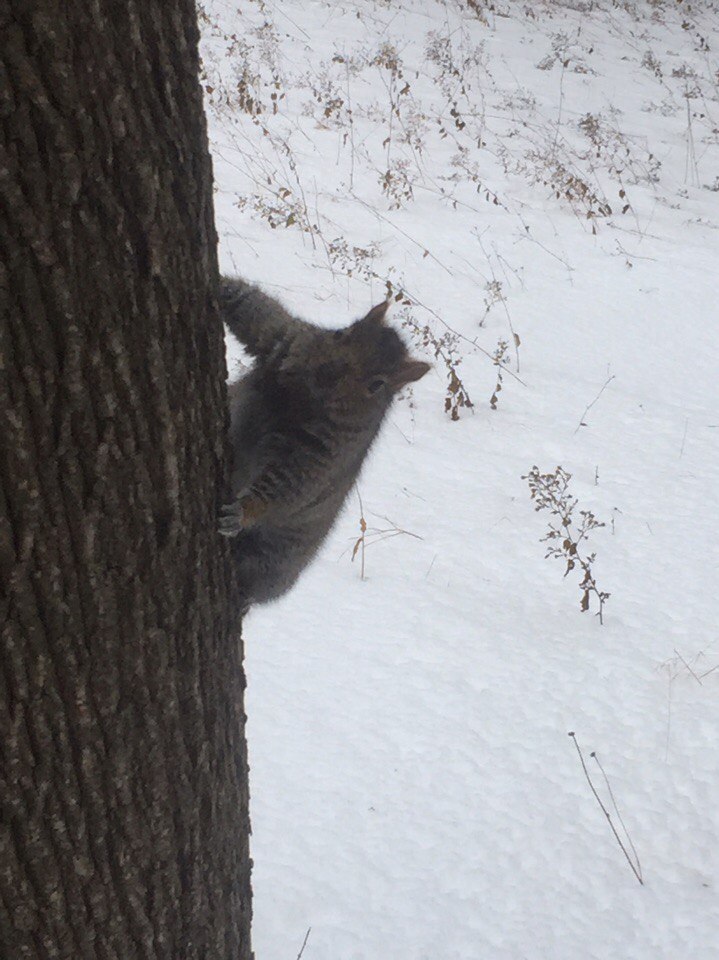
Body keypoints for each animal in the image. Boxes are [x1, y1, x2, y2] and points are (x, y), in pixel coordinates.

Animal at [217, 278, 430, 604]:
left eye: (377, 385)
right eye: (342, 333)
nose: (326, 371)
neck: (304, 399)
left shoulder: (326, 452)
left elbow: (289, 487)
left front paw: (241, 511)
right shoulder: (290, 338)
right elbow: (255, 310)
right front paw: (220, 285)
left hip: (274, 560)